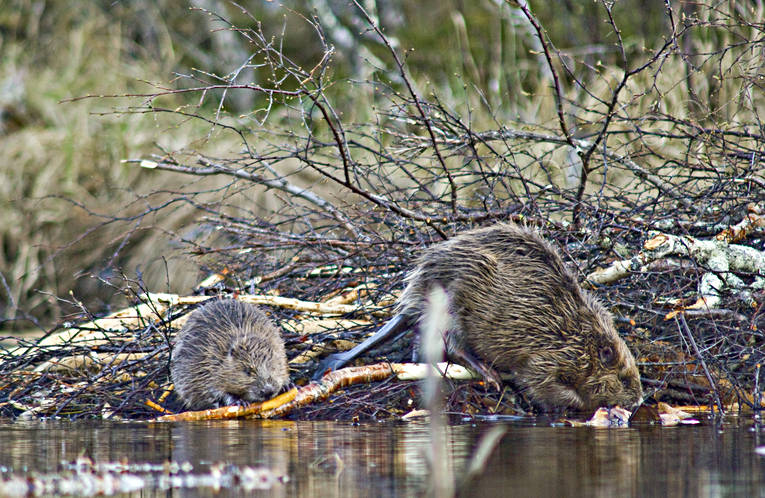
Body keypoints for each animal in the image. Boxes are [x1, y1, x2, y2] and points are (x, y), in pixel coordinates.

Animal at [314, 224, 640, 410]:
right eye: (624, 379)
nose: (638, 400)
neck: (576, 333)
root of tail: (411, 300)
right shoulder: (546, 356)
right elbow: (538, 384)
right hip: (454, 303)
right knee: (452, 344)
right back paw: (489, 375)